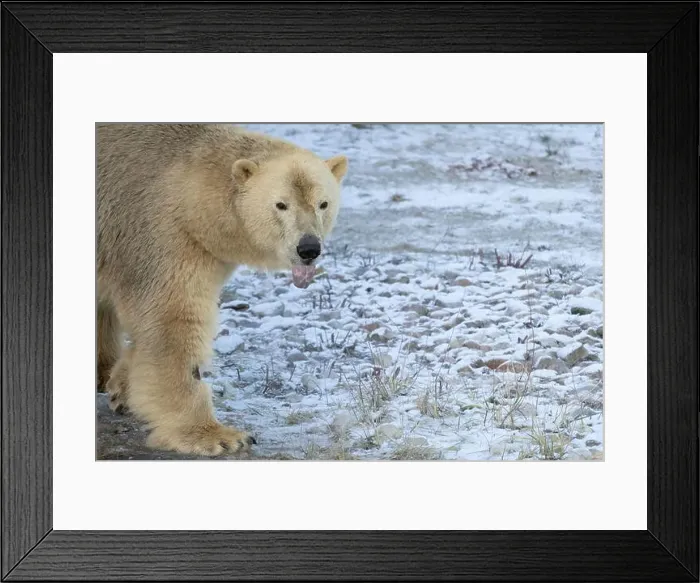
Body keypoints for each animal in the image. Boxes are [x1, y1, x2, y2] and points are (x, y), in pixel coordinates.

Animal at [96, 123, 347, 456]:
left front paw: (121, 387)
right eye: (280, 204)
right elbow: (173, 320)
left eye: (323, 203)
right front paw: (218, 436)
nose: (308, 248)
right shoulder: (160, 233)